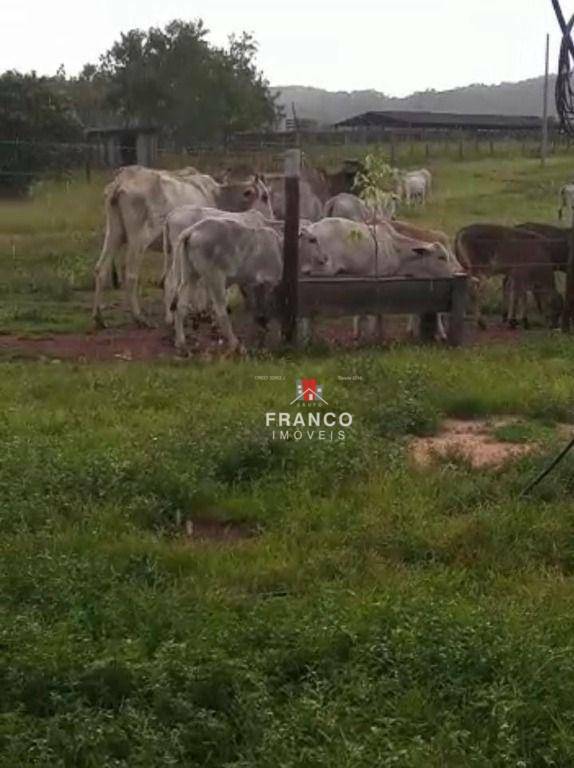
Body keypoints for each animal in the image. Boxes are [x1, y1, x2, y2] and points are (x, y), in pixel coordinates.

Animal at [92, 166, 274, 328]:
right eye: (265, 196)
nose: (271, 217)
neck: (218, 196)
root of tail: (121, 180)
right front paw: (201, 310)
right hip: (139, 238)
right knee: (130, 275)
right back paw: (139, 317)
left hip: (114, 233)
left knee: (101, 268)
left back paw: (99, 317)